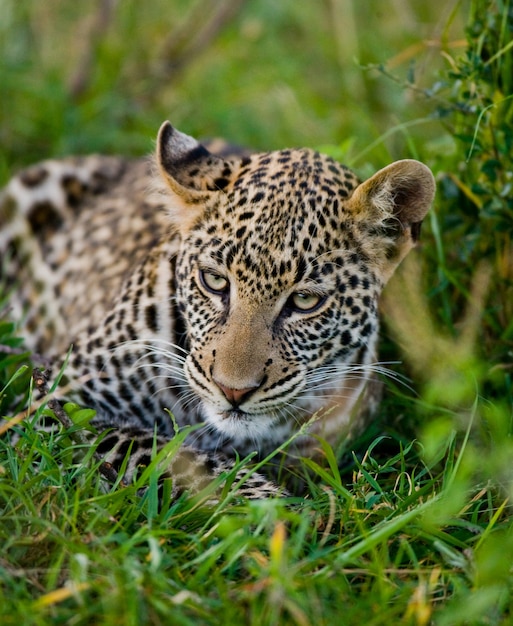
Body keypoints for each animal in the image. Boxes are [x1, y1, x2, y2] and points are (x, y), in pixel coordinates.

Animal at [0, 123, 434, 498]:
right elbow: (163, 452)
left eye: (305, 301)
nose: (233, 391)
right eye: (214, 281)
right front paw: (266, 505)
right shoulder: (56, 394)